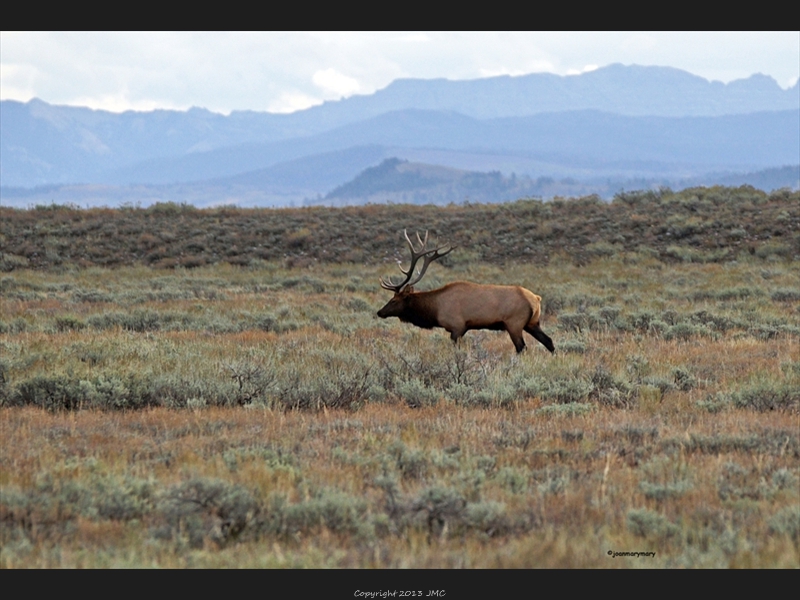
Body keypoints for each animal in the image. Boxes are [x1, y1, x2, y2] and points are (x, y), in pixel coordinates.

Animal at [376, 229, 552, 352]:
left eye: (394, 300)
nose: (379, 312)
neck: (435, 310)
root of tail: (536, 299)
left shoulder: (457, 327)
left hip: (514, 323)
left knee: (522, 348)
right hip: (532, 323)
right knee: (549, 341)